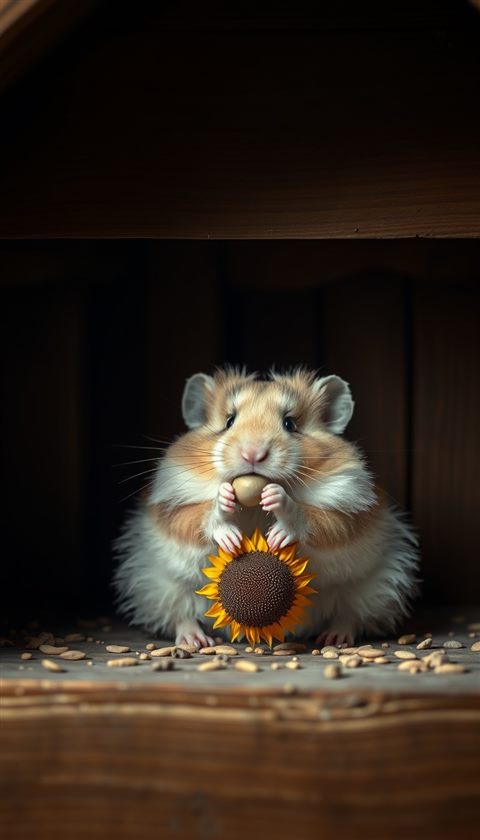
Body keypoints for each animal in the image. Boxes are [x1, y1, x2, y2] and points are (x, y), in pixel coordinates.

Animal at [114, 368, 419, 648]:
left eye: (289, 423)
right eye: (229, 421)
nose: (253, 454)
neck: (253, 509)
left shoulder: (350, 507)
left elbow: (320, 522)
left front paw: (276, 506)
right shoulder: (171, 506)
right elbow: (194, 518)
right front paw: (226, 507)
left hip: (377, 587)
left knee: (351, 616)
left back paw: (334, 638)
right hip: (155, 585)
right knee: (180, 615)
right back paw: (197, 641)